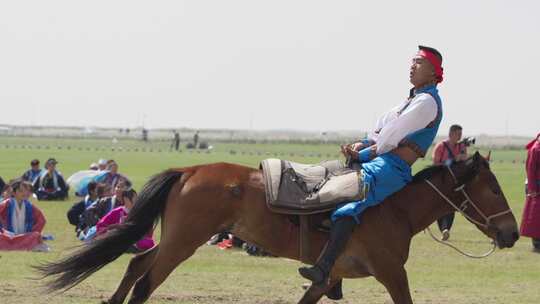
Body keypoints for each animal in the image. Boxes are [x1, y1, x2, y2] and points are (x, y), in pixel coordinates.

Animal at [38, 153, 520, 302]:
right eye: (495, 188)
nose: (513, 233)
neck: (393, 209)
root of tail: (190, 169)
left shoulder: (328, 278)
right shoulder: (391, 274)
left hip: (176, 240)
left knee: (137, 264)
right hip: (183, 242)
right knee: (145, 279)